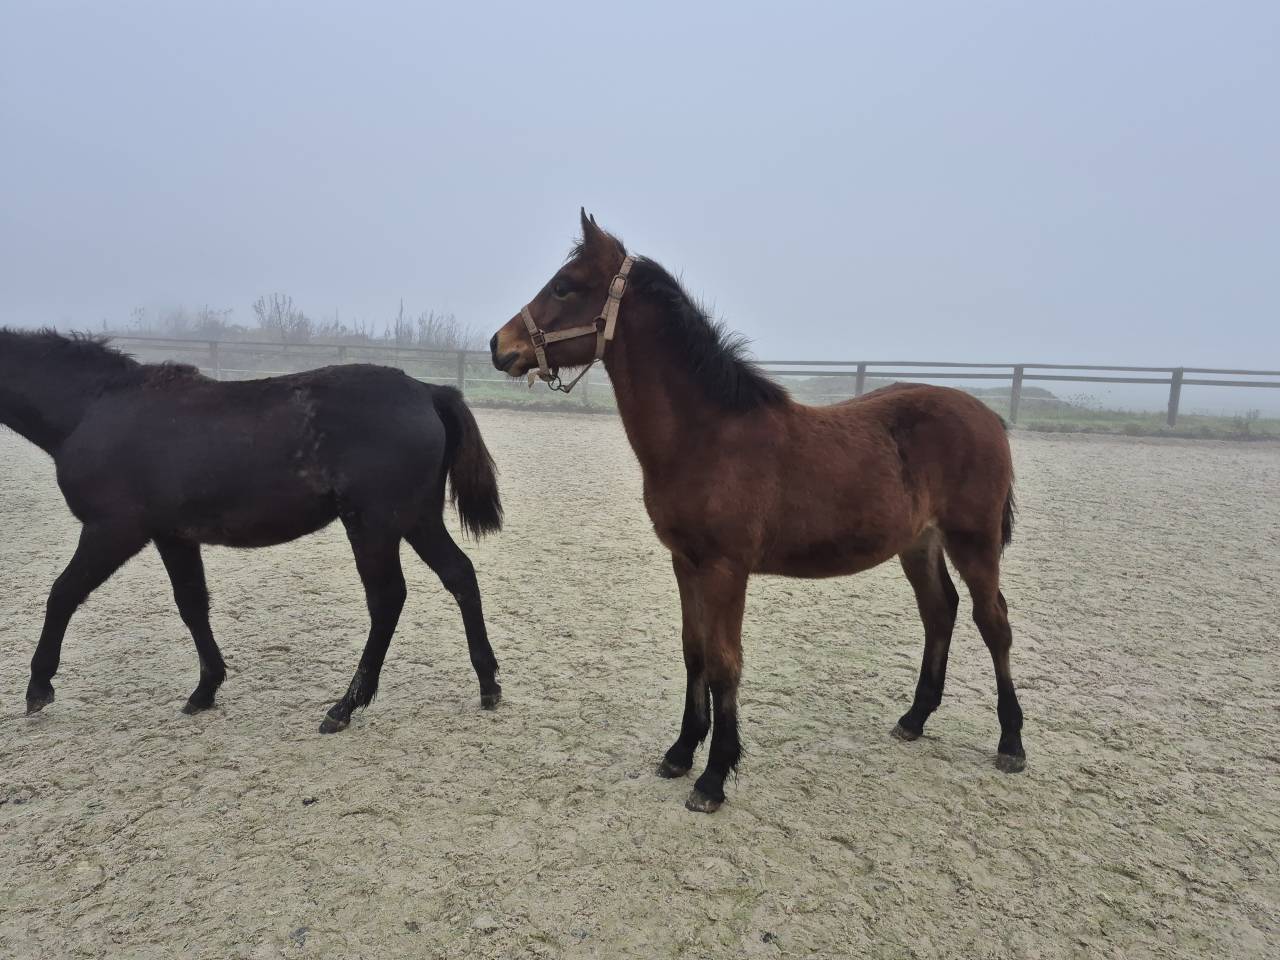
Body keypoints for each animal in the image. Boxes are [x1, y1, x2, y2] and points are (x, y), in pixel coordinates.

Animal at [0, 329, 503, 731]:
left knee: (387, 600)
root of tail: (426, 391)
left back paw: (344, 706)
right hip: (416, 518)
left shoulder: (113, 529)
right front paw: (205, 689)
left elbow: (62, 593)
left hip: (374, 524)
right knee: (459, 575)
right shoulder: (172, 535)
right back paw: (488, 683)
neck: (95, 407)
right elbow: (192, 604)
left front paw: (38, 686)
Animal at [490, 211, 1025, 813]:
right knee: (940, 611)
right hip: (919, 543)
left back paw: (1011, 743)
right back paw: (913, 719)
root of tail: (987, 414)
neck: (708, 435)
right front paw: (681, 752)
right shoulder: (686, 562)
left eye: (565, 286)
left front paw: (713, 776)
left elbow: (726, 662)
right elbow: (694, 652)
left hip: (974, 540)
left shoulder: (727, 569)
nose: (498, 345)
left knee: (993, 622)